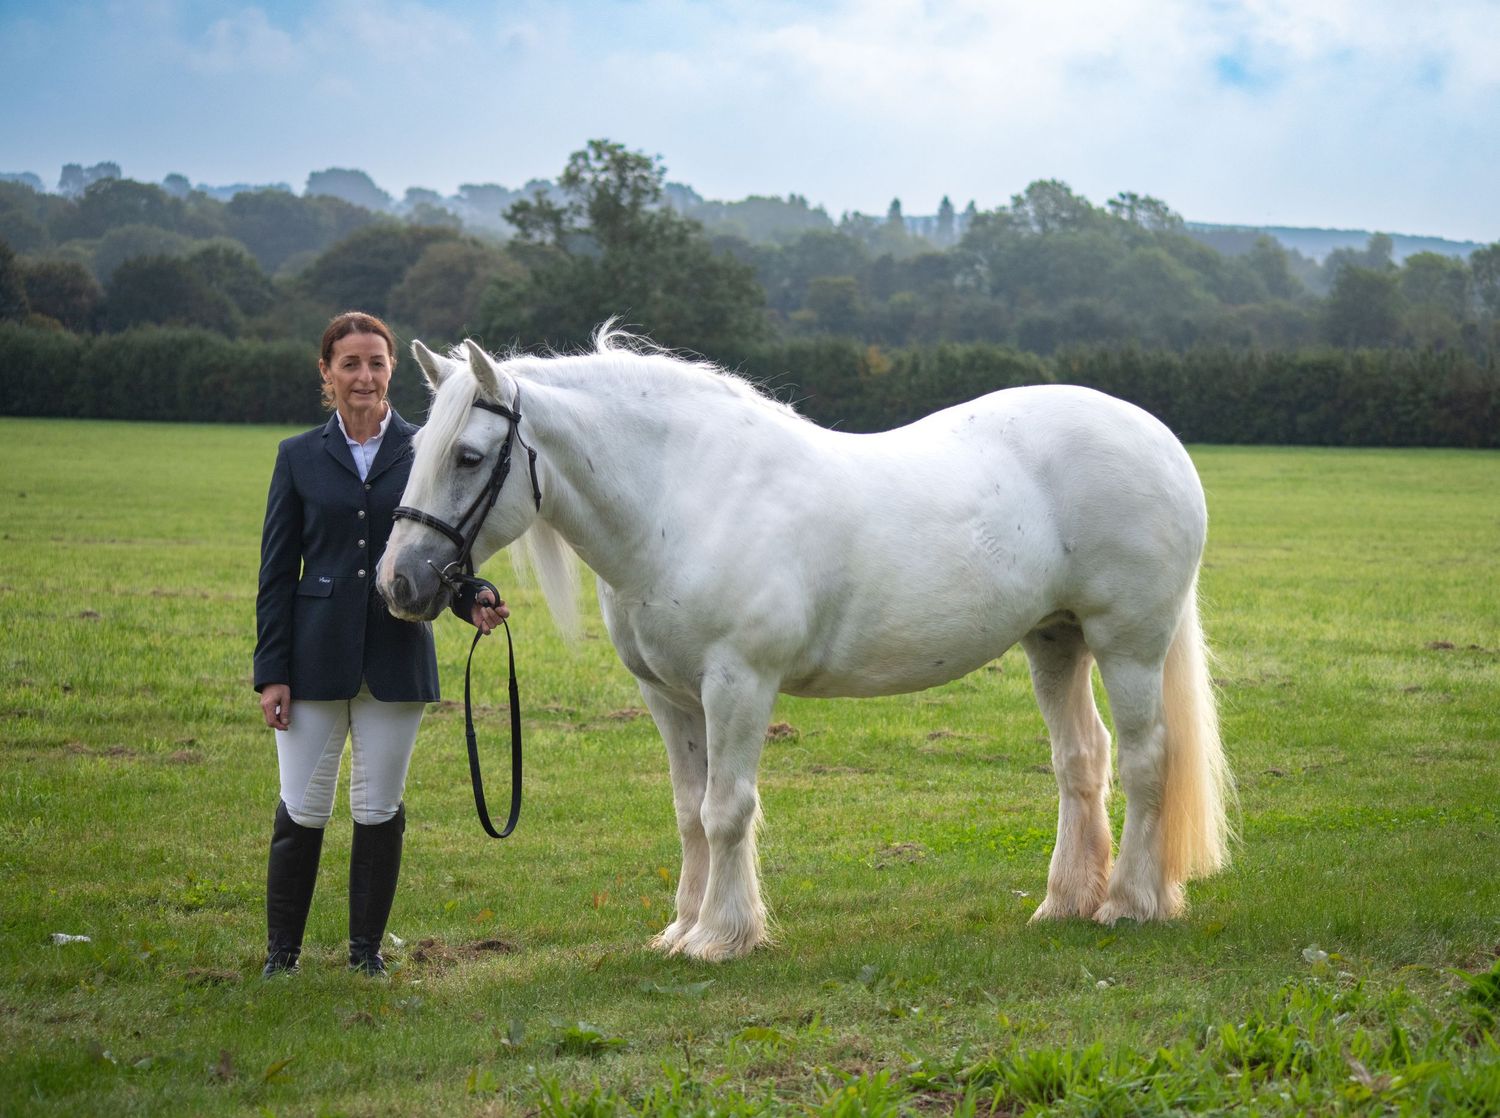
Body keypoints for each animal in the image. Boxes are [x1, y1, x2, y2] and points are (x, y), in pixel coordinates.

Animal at [377, 329, 1233, 962]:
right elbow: (689, 811)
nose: (398, 583)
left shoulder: (738, 683)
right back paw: (1064, 902)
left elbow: (727, 808)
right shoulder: (669, 696)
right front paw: (683, 927)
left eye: (468, 456)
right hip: (1056, 642)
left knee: (1147, 760)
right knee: (1081, 761)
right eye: (419, 451)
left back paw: (1129, 903)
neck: (684, 497)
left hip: (1128, 643)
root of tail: (1157, 438)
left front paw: (722, 937)